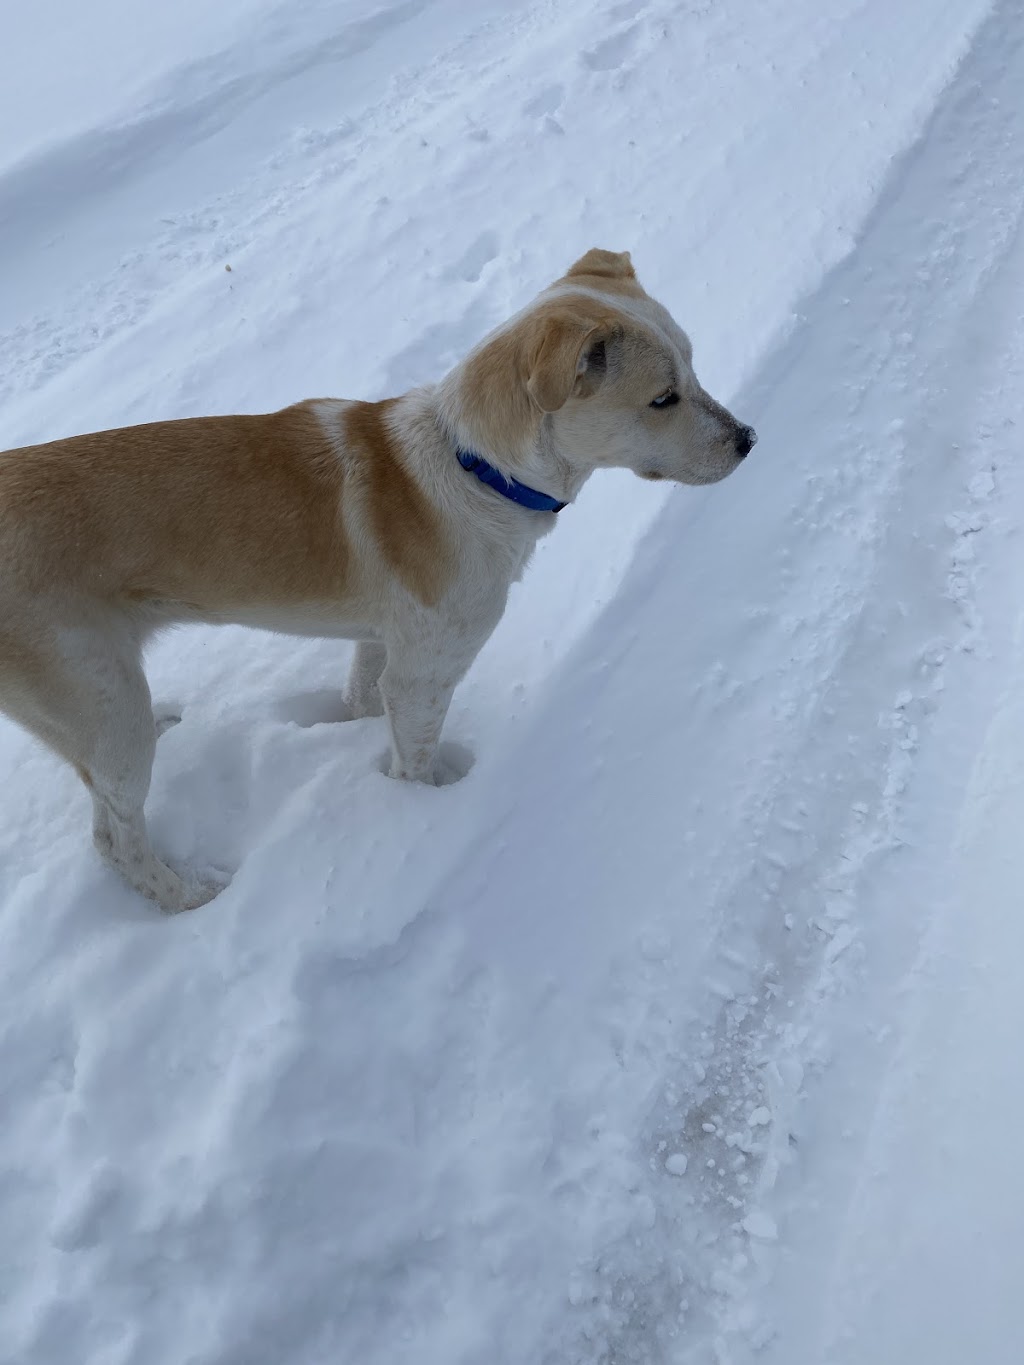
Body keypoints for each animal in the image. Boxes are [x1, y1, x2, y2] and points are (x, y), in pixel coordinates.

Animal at [0, 251, 753, 911]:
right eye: (663, 397)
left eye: (694, 365)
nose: (749, 439)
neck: (474, 465)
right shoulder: (426, 673)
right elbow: (414, 757)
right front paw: (424, 807)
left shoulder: (382, 642)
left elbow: (363, 697)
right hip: (104, 708)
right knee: (114, 840)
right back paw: (189, 897)